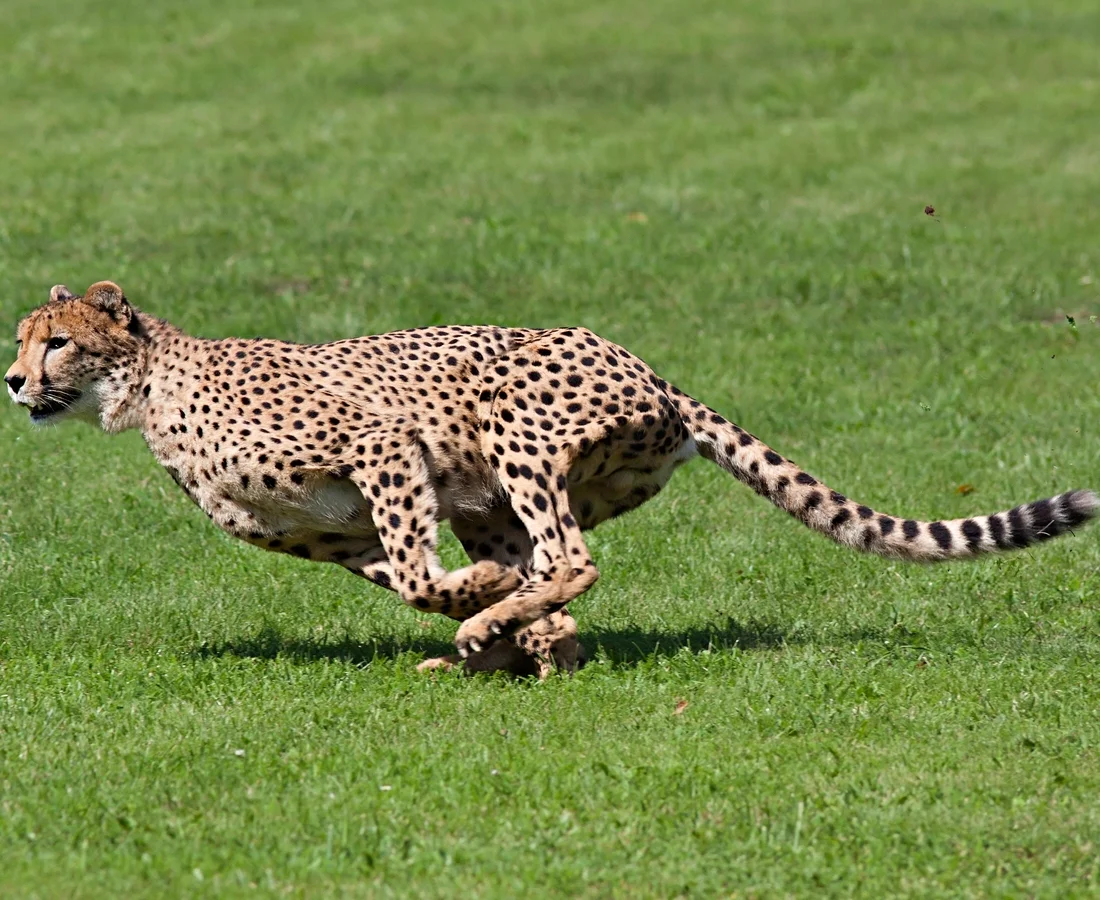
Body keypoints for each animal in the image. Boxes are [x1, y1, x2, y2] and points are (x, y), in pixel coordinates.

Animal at [6, 281, 1097, 677]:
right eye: (24, 339)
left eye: (56, 340)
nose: (13, 380)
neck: (148, 386)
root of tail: (654, 372)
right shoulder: (335, 534)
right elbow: (409, 579)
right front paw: (490, 618)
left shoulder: (383, 445)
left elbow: (420, 573)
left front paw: (484, 609)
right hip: (495, 492)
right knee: (550, 578)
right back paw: (520, 646)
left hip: (509, 427)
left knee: (570, 559)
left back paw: (506, 629)